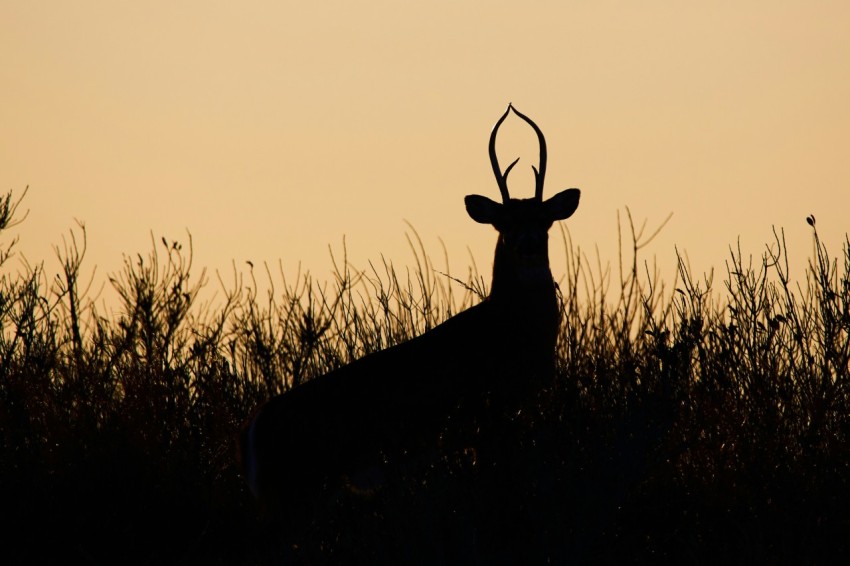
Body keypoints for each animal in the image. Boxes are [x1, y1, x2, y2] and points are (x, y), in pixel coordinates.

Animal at [242, 105, 580, 528]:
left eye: (544, 220)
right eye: (504, 222)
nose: (528, 243)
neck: (511, 330)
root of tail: (257, 427)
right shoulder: (487, 413)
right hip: (296, 489)